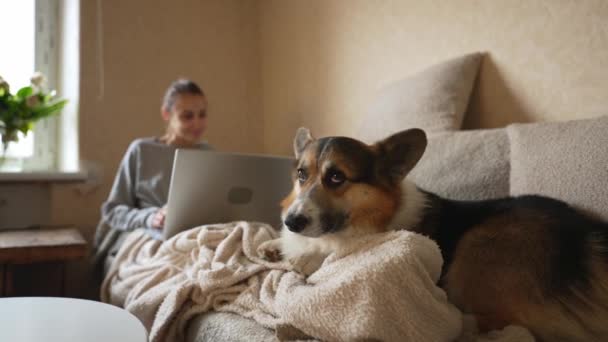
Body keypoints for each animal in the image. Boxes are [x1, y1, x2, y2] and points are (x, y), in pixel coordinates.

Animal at [266, 127, 608, 340]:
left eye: (337, 177)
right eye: (301, 174)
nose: (292, 221)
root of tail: (588, 237)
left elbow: (318, 260)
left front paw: (301, 263)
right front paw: (274, 244)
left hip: (475, 248)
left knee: (501, 325)